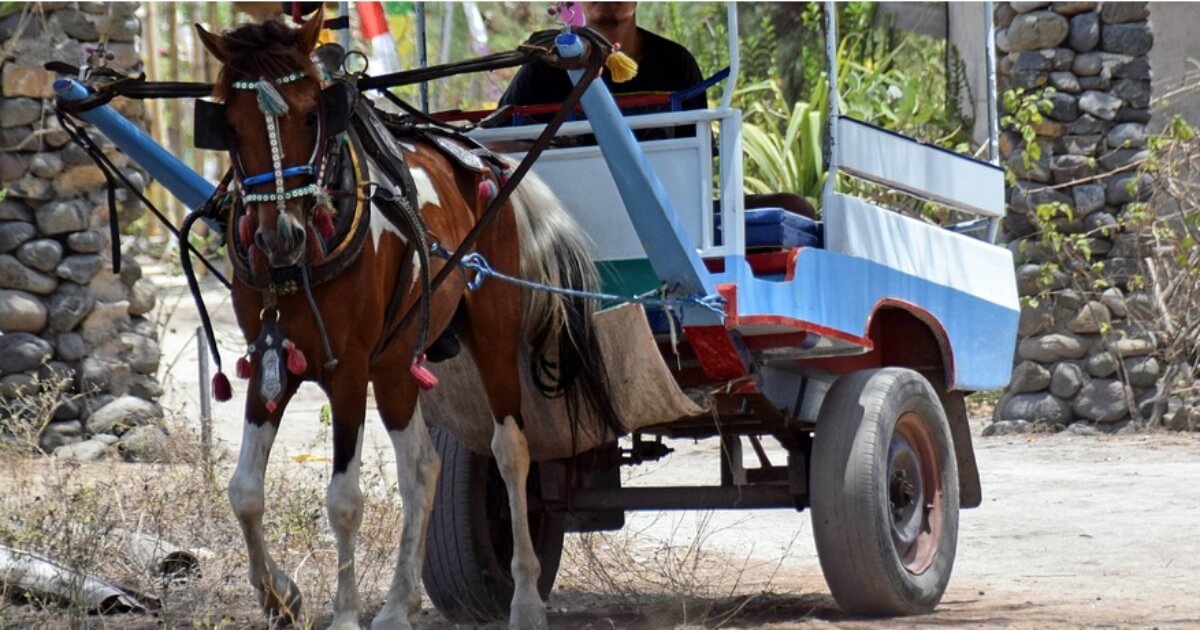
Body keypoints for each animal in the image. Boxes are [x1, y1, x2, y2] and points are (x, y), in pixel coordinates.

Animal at [196, 14, 619, 628]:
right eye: (229, 124)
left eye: (311, 115)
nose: (282, 235)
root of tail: (486, 157)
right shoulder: (272, 358)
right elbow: (245, 489)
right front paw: (280, 597)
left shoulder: (347, 371)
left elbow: (343, 500)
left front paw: (345, 614)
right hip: (396, 362)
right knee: (422, 467)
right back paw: (399, 604)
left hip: (491, 331)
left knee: (510, 451)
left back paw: (523, 599)